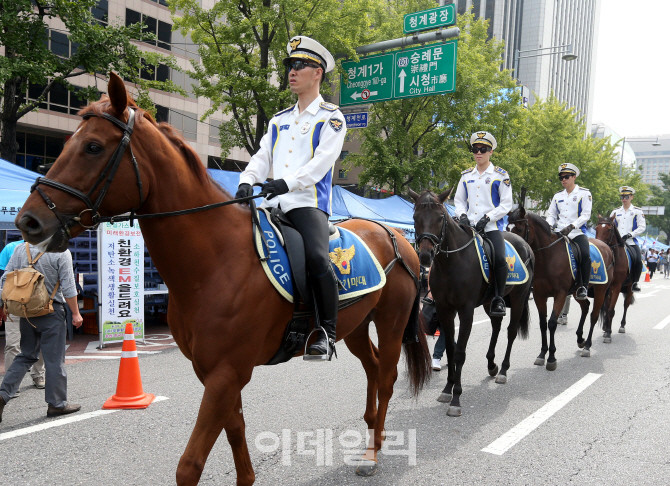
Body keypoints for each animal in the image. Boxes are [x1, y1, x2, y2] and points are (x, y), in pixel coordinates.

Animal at [17, 73, 436, 486]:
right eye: (68, 143)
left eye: (92, 147)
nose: (29, 221)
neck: (214, 264)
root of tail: (398, 238)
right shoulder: (214, 373)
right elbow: (235, 432)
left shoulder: (226, 373)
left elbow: (190, 464)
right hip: (356, 326)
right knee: (372, 367)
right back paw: (373, 432)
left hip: (391, 322)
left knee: (387, 376)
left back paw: (373, 453)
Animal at [410, 190, 536, 418]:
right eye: (415, 217)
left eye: (440, 218)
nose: (424, 255)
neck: (452, 262)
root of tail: (525, 244)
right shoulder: (445, 309)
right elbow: (450, 349)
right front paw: (447, 389)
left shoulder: (466, 311)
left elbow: (460, 353)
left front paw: (456, 399)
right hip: (490, 302)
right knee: (496, 327)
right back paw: (492, 365)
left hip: (520, 298)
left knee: (511, 332)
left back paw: (503, 370)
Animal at [512, 207, 616, 366]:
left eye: (519, 228)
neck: (549, 257)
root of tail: (607, 248)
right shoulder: (539, 295)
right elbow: (543, 323)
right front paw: (542, 354)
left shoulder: (560, 294)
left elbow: (552, 323)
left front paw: (551, 357)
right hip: (576, 292)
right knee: (585, 306)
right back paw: (580, 339)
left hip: (600, 290)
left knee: (594, 315)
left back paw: (587, 346)